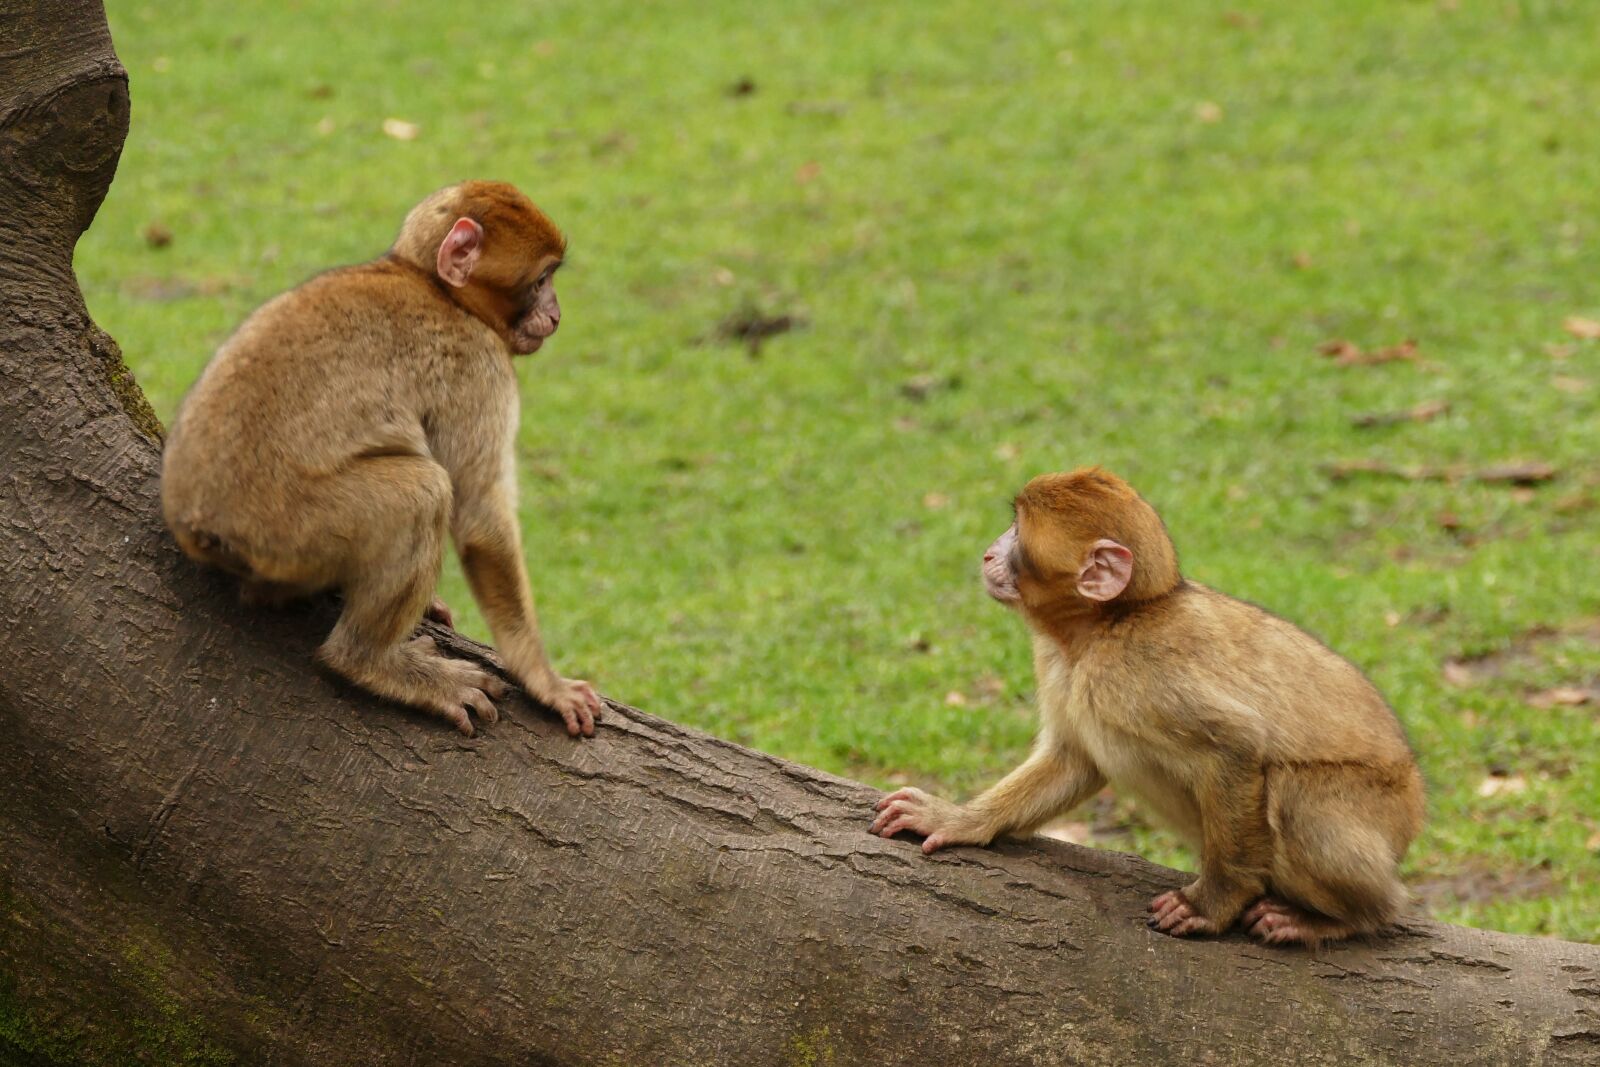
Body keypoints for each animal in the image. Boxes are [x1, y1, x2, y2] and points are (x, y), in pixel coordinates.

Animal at [161, 181, 604, 740]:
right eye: (542, 279)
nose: (557, 313)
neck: (433, 284)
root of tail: (193, 523)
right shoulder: (481, 367)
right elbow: (480, 518)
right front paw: (545, 680)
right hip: (289, 528)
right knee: (423, 492)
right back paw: (367, 662)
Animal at [870, 468, 1425, 946]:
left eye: (1018, 534)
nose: (988, 555)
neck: (1105, 626)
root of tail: (1412, 811)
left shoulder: (1136, 673)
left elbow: (1237, 747)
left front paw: (1213, 904)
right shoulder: (1058, 662)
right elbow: (1075, 760)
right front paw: (958, 820)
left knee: (1294, 796)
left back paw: (1352, 916)